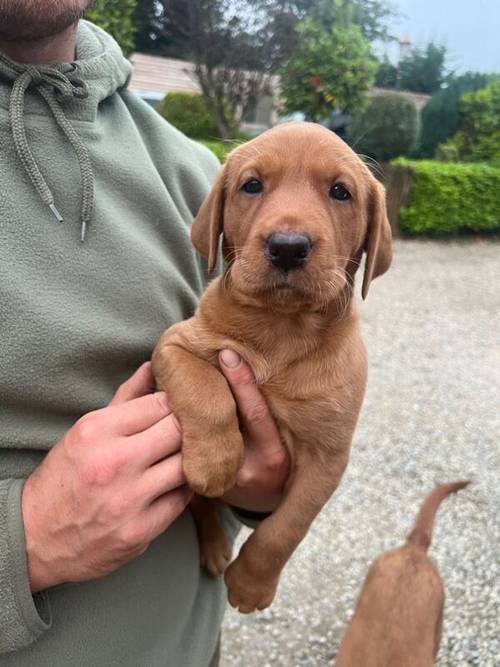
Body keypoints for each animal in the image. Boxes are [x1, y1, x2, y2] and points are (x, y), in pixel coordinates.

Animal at [150, 122, 392, 612]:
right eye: (252, 186)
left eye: (341, 192)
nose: (288, 247)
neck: (281, 328)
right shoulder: (174, 345)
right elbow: (205, 388)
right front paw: (216, 460)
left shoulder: (327, 456)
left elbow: (285, 530)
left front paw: (251, 585)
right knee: (202, 507)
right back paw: (213, 546)